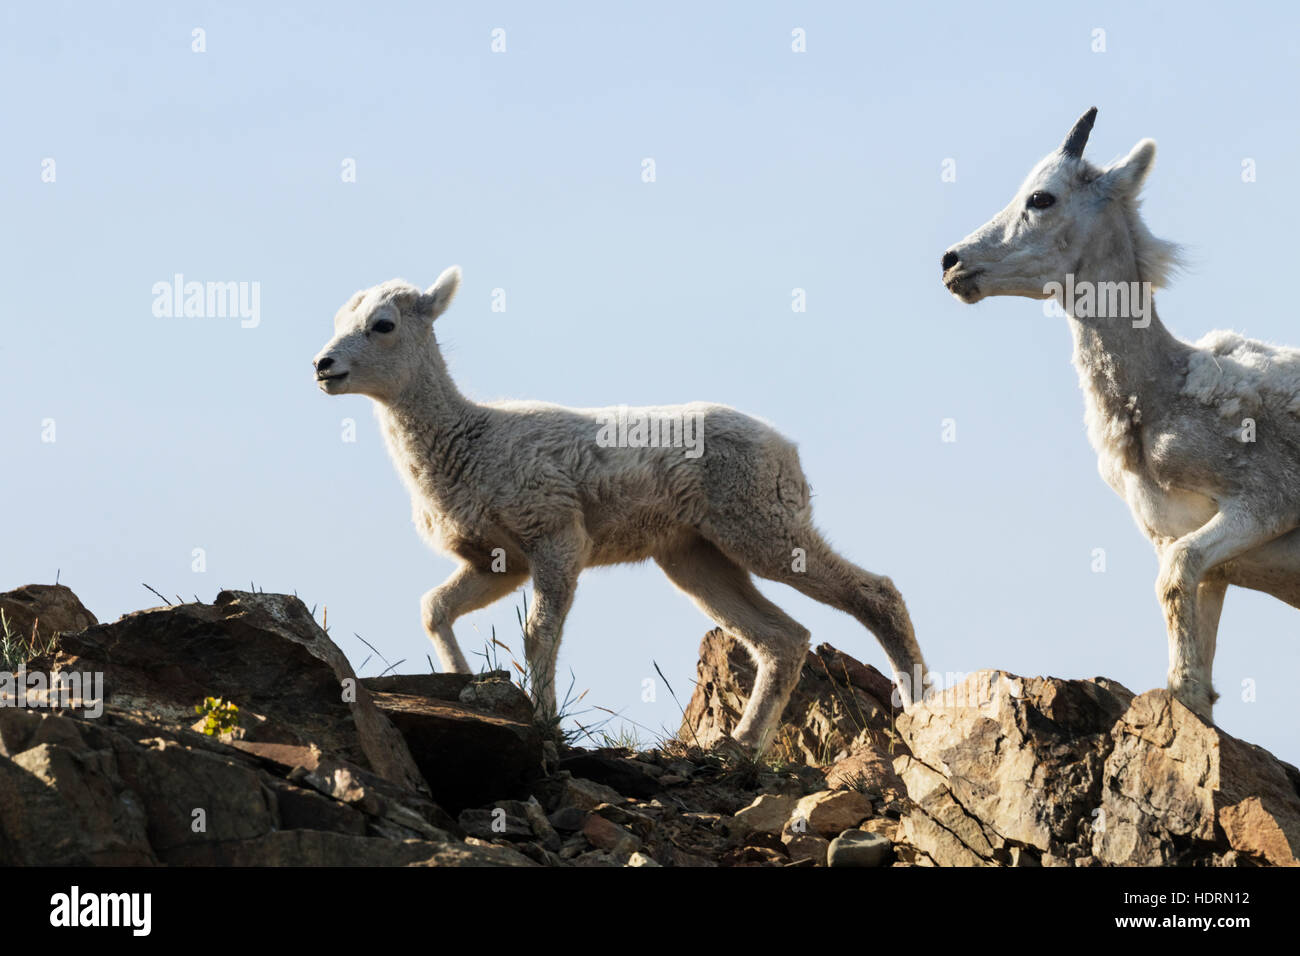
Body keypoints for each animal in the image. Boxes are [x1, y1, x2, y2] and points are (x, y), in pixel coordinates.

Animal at [312, 266, 927, 752]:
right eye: (340, 318)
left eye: (383, 324)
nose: (323, 365)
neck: (468, 440)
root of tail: (787, 449)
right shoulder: (498, 561)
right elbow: (433, 608)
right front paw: (464, 681)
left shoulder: (557, 538)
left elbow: (538, 634)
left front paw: (547, 722)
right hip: (696, 558)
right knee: (783, 638)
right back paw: (740, 745)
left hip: (764, 530)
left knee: (874, 593)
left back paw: (918, 702)